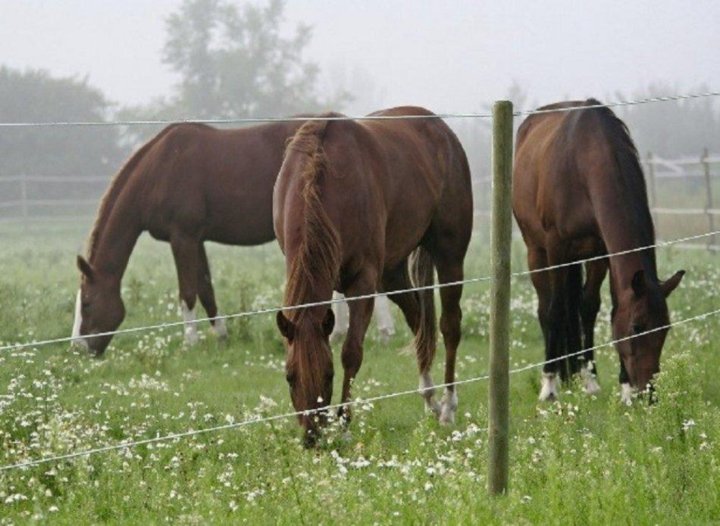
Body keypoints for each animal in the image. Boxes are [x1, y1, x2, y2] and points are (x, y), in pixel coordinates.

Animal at [272, 106, 472, 446]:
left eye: (328, 375)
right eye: (289, 376)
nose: (312, 437)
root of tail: (442, 130)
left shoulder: (362, 283)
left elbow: (351, 353)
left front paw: (344, 423)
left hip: (449, 257)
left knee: (449, 326)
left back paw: (448, 407)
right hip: (392, 273)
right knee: (419, 321)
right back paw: (429, 399)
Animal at [512, 99, 688, 404]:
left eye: (665, 328)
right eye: (637, 328)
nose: (649, 393)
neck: (586, 160)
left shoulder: (602, 251)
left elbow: (595, 306)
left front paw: (613, 386)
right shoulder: (556, 247)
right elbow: (556, 310)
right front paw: (549, 385)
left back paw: (572, 374)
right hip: (537, 251)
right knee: (547, 306)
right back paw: (556, 376)